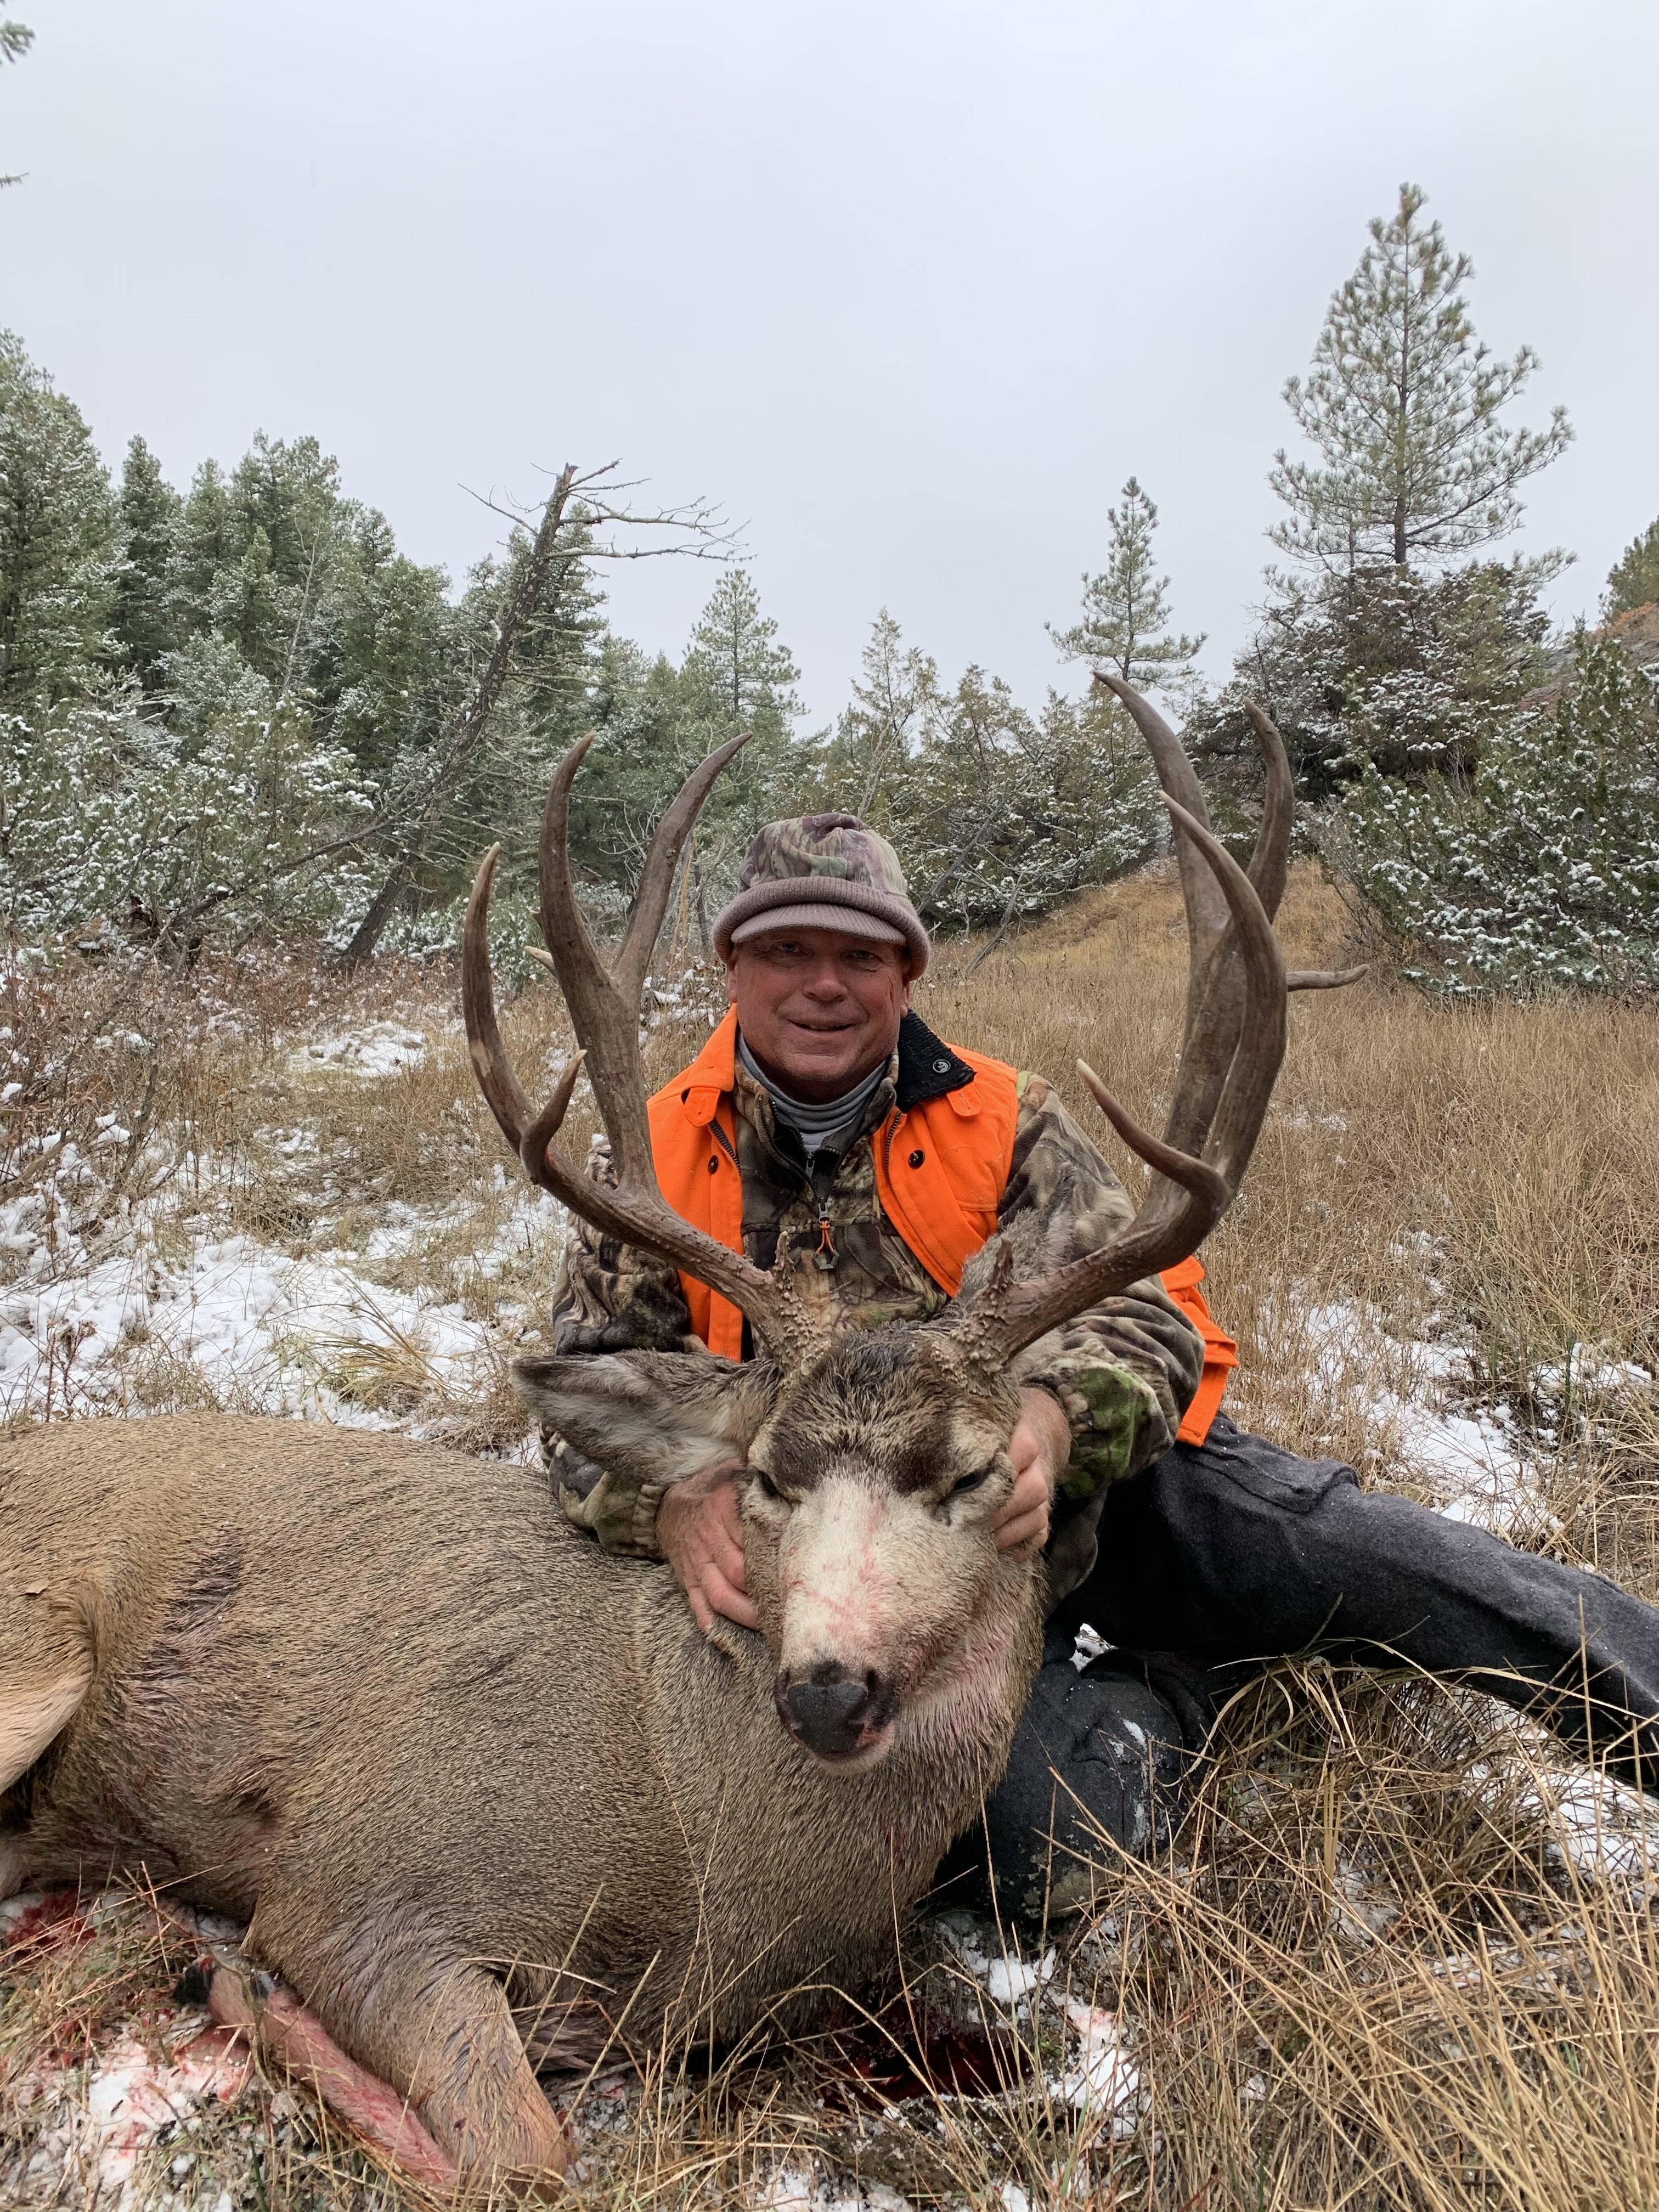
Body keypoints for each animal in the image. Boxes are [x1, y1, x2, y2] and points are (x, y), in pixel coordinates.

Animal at [0, 682, 1300, 2196]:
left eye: (977, 1474)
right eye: (769, 1479)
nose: (829, 1690)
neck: (698, 1865)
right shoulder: (360, 1872)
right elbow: (524, 2153)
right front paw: (229, 1982)